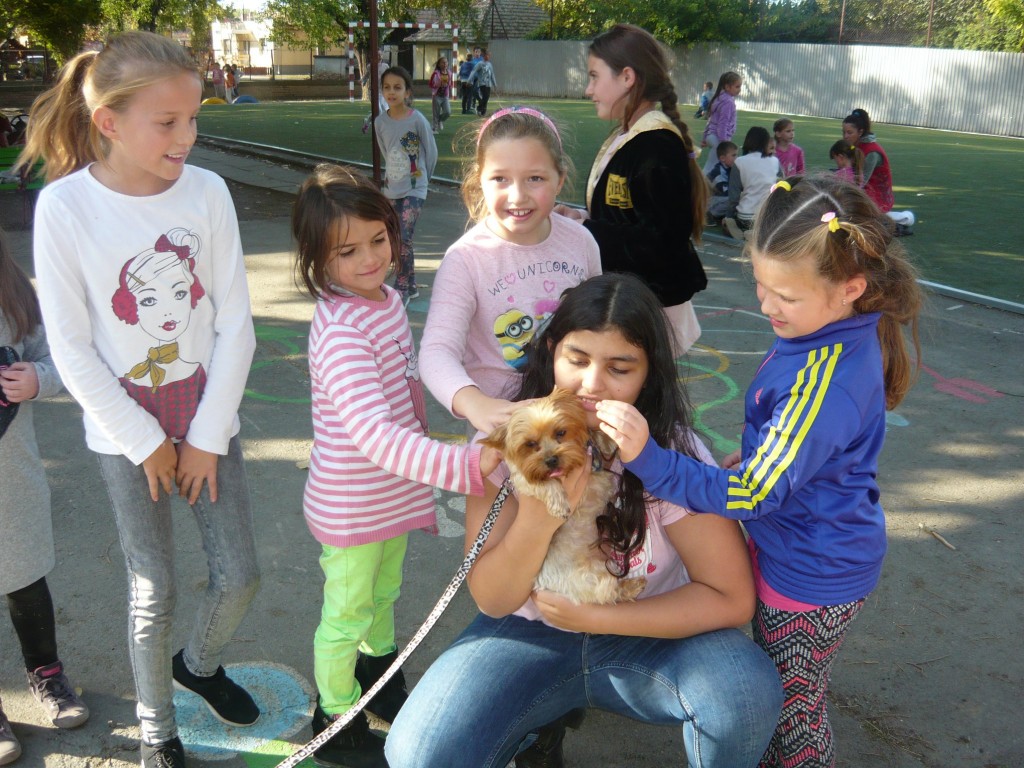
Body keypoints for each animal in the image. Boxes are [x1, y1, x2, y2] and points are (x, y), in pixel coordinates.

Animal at [481, 388, 647, 606]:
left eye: (560, 432)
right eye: (530, 444)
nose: (551, 460)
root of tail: (543, 583)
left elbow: (595, 435)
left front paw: (611, 440)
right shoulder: (523, 480)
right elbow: (542, 484)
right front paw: (559, 503)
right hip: (593, 576)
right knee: (608, 592)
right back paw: (632, 586)